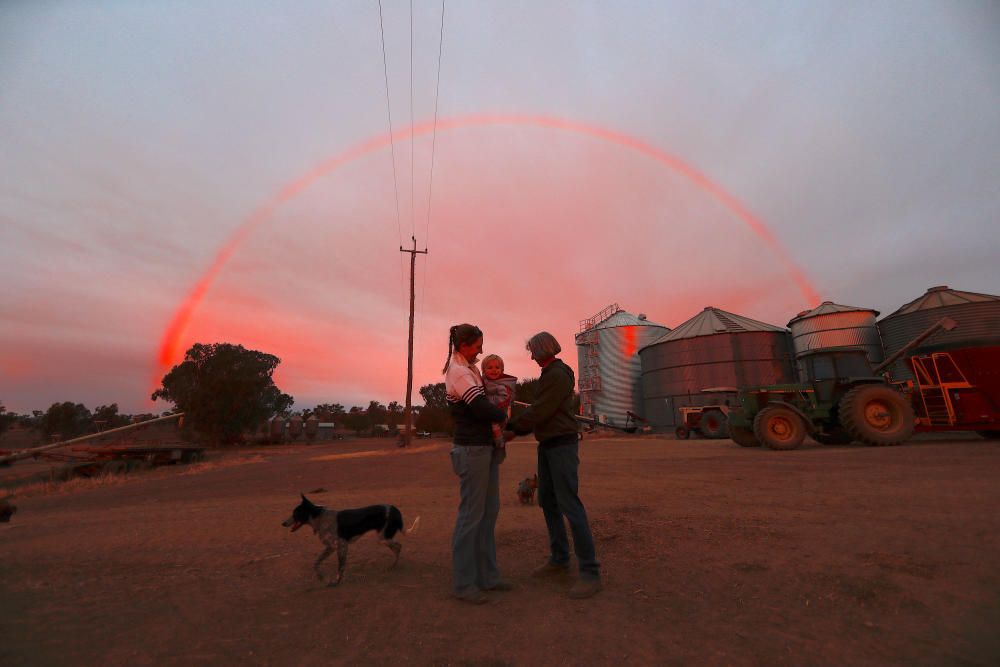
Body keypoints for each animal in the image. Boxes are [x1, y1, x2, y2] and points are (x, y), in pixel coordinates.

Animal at [282, 494, 418, 588]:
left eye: (296, 513)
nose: (283, 523)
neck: (320, 517)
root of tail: (396, 510)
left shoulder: (341, 545)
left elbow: (340, 566)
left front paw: (336, 582)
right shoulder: (331, 548)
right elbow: (316, 563)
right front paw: (321, 577)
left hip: (383, 538)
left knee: (398, 546)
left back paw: (393, 565)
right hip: (384, 538)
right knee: (397, 547)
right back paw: (393, 565)